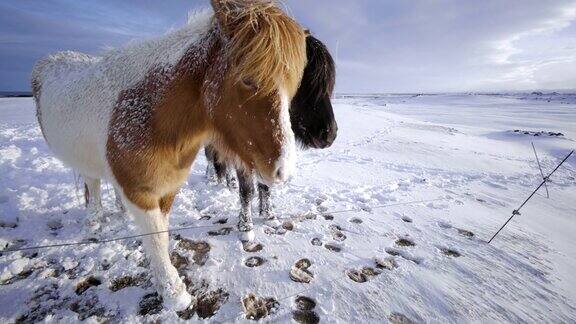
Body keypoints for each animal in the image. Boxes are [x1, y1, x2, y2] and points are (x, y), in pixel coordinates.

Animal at [31, 1, 308, 312]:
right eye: (249, 80)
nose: (283, 170)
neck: (154, 116)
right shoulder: (141, 193)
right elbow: (155, 239)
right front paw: (173, 291)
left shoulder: (167, 187)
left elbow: (161, 235)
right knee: (93, 183)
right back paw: (94, 221)